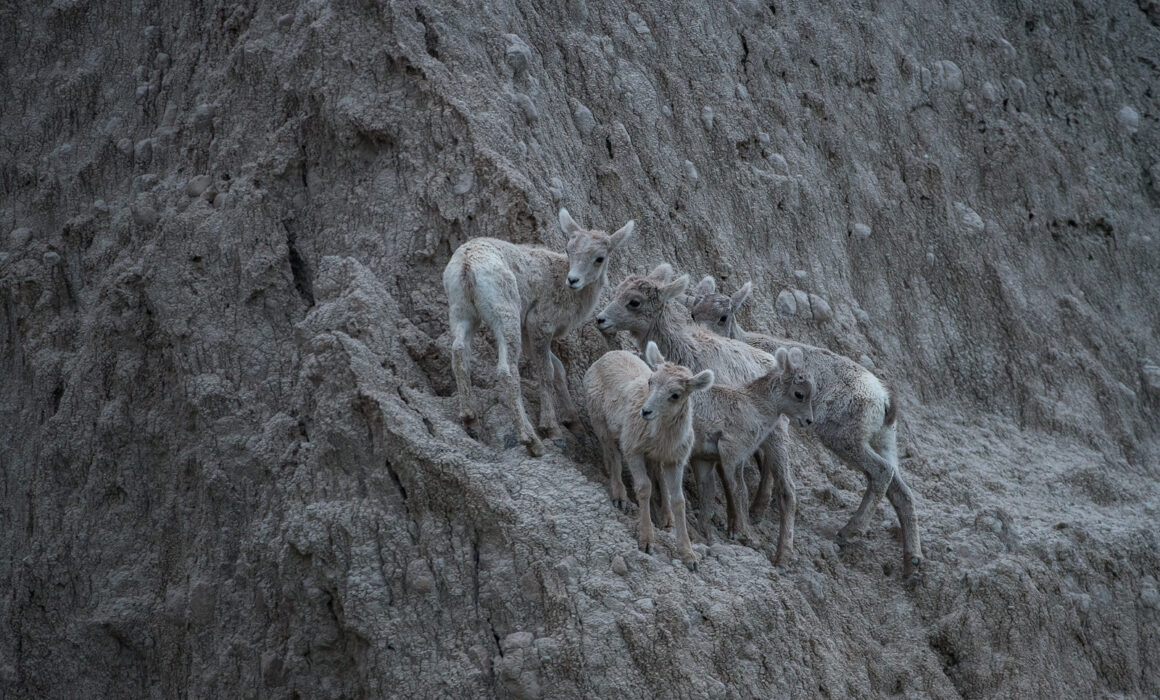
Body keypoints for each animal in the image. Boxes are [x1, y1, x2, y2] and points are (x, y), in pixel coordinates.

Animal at [442, 209, 634, 456]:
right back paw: (532, 441)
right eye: (569, 250)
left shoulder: (529, 332)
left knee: (459, 351)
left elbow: (559, 369)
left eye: (599, 258)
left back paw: (470, 419)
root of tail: (467, 263)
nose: (573, 280)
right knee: (506, 370)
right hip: (506, 313)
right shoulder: (539, 324)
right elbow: (547, 371)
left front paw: (574, 423)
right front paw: (553, 430)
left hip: (462, 310)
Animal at [584, 341, 714, 569]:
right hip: (600, 421)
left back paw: (667, 518)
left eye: (676, 394)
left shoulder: (675, 461)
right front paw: (646, 542)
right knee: (612, 455)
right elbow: (644, 488)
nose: (645, 412)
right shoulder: (633, 450)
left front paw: (689, 556)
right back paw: (619, 496)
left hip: (654, 456)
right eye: (651, 382)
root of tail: (608, 355)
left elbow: (679, 500)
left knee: (656, 473)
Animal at [688, 346, 816, 564]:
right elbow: (740, 492)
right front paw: (746, 535)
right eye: (799, 394)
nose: (808, 421)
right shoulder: (732, 453)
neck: (753, 405)